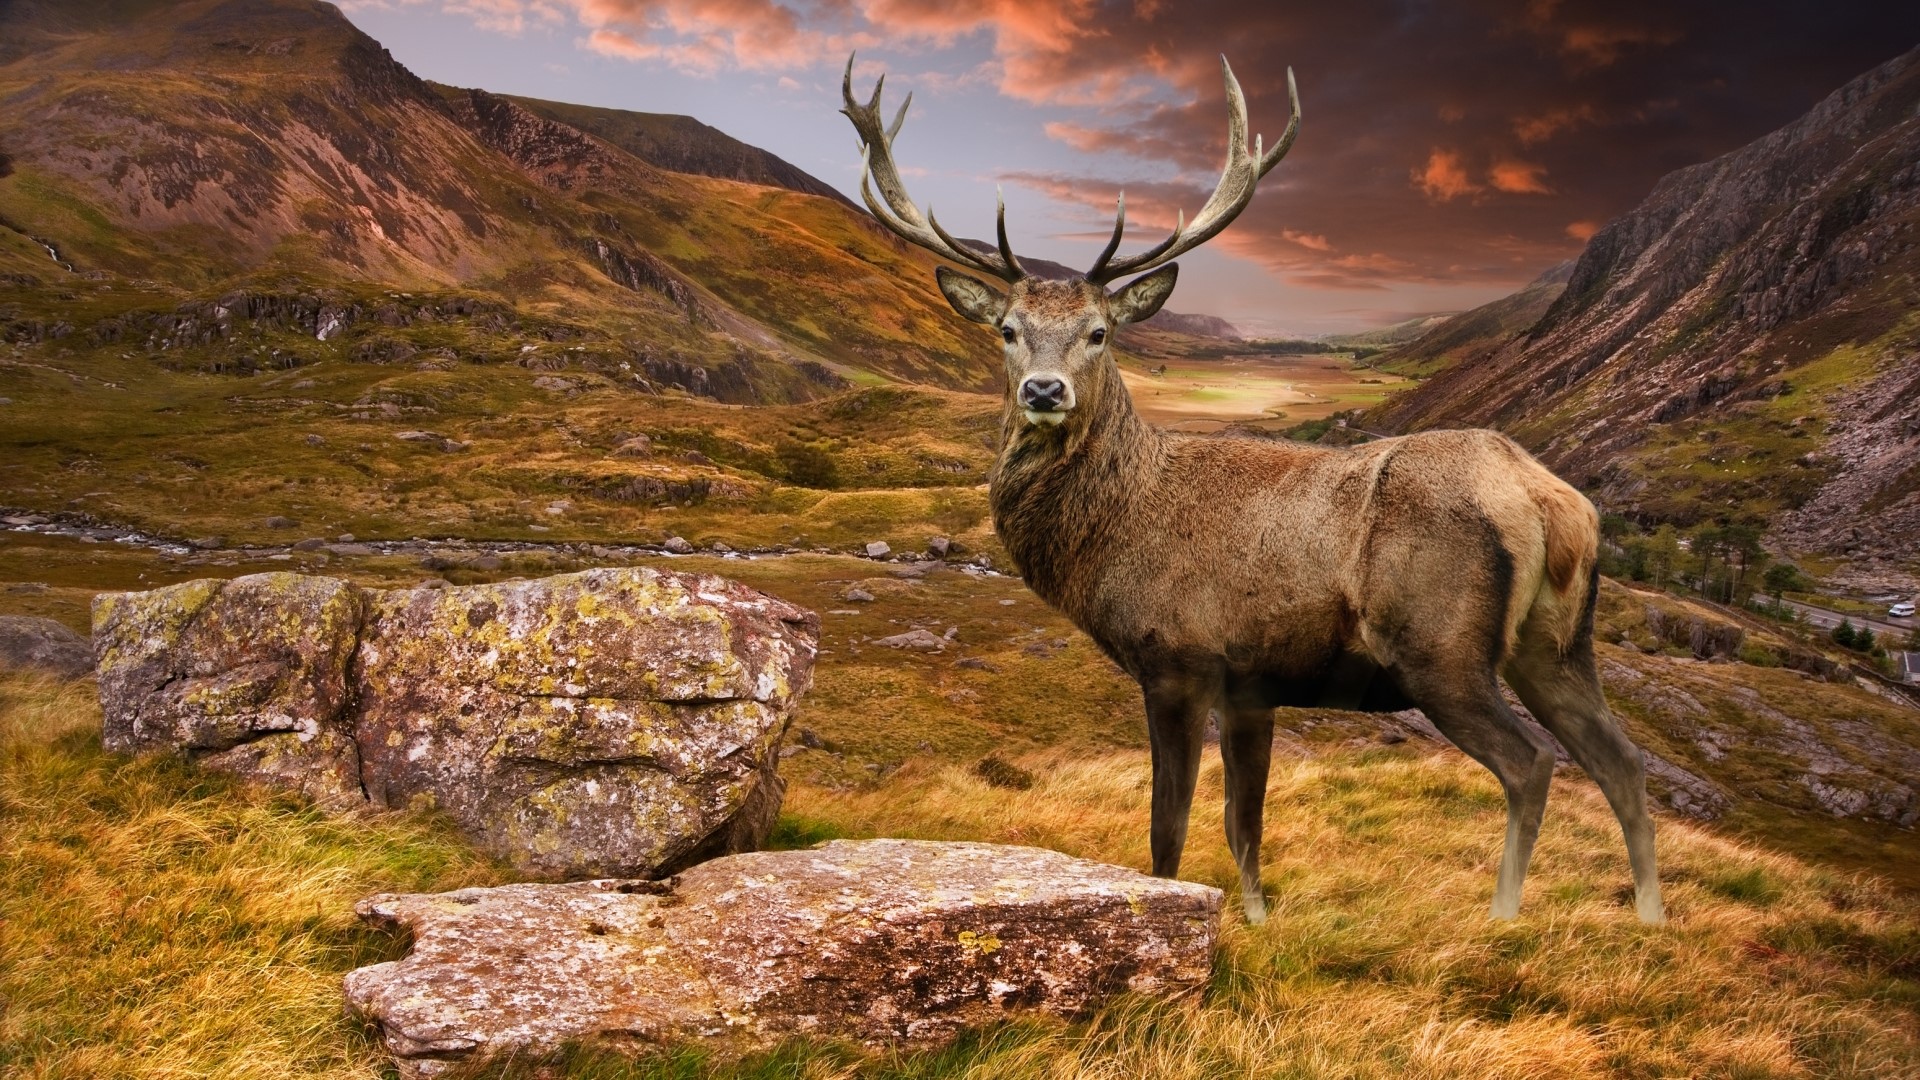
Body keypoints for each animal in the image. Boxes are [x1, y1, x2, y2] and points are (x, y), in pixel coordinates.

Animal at [840, 56, 1665, 926]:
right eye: (1006, 330)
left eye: (1099, 332)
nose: (1042, 390)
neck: (1117, 533)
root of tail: (1551, 502)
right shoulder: (1253, 686)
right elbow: (1246, 824)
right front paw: (1258, 920)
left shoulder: (1178, 656)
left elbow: (1168, 828)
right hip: (1558, 645)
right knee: (1622, 761)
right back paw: (1652, 919)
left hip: (1441, 648)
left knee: (1532, 765)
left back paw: (1504, 916)